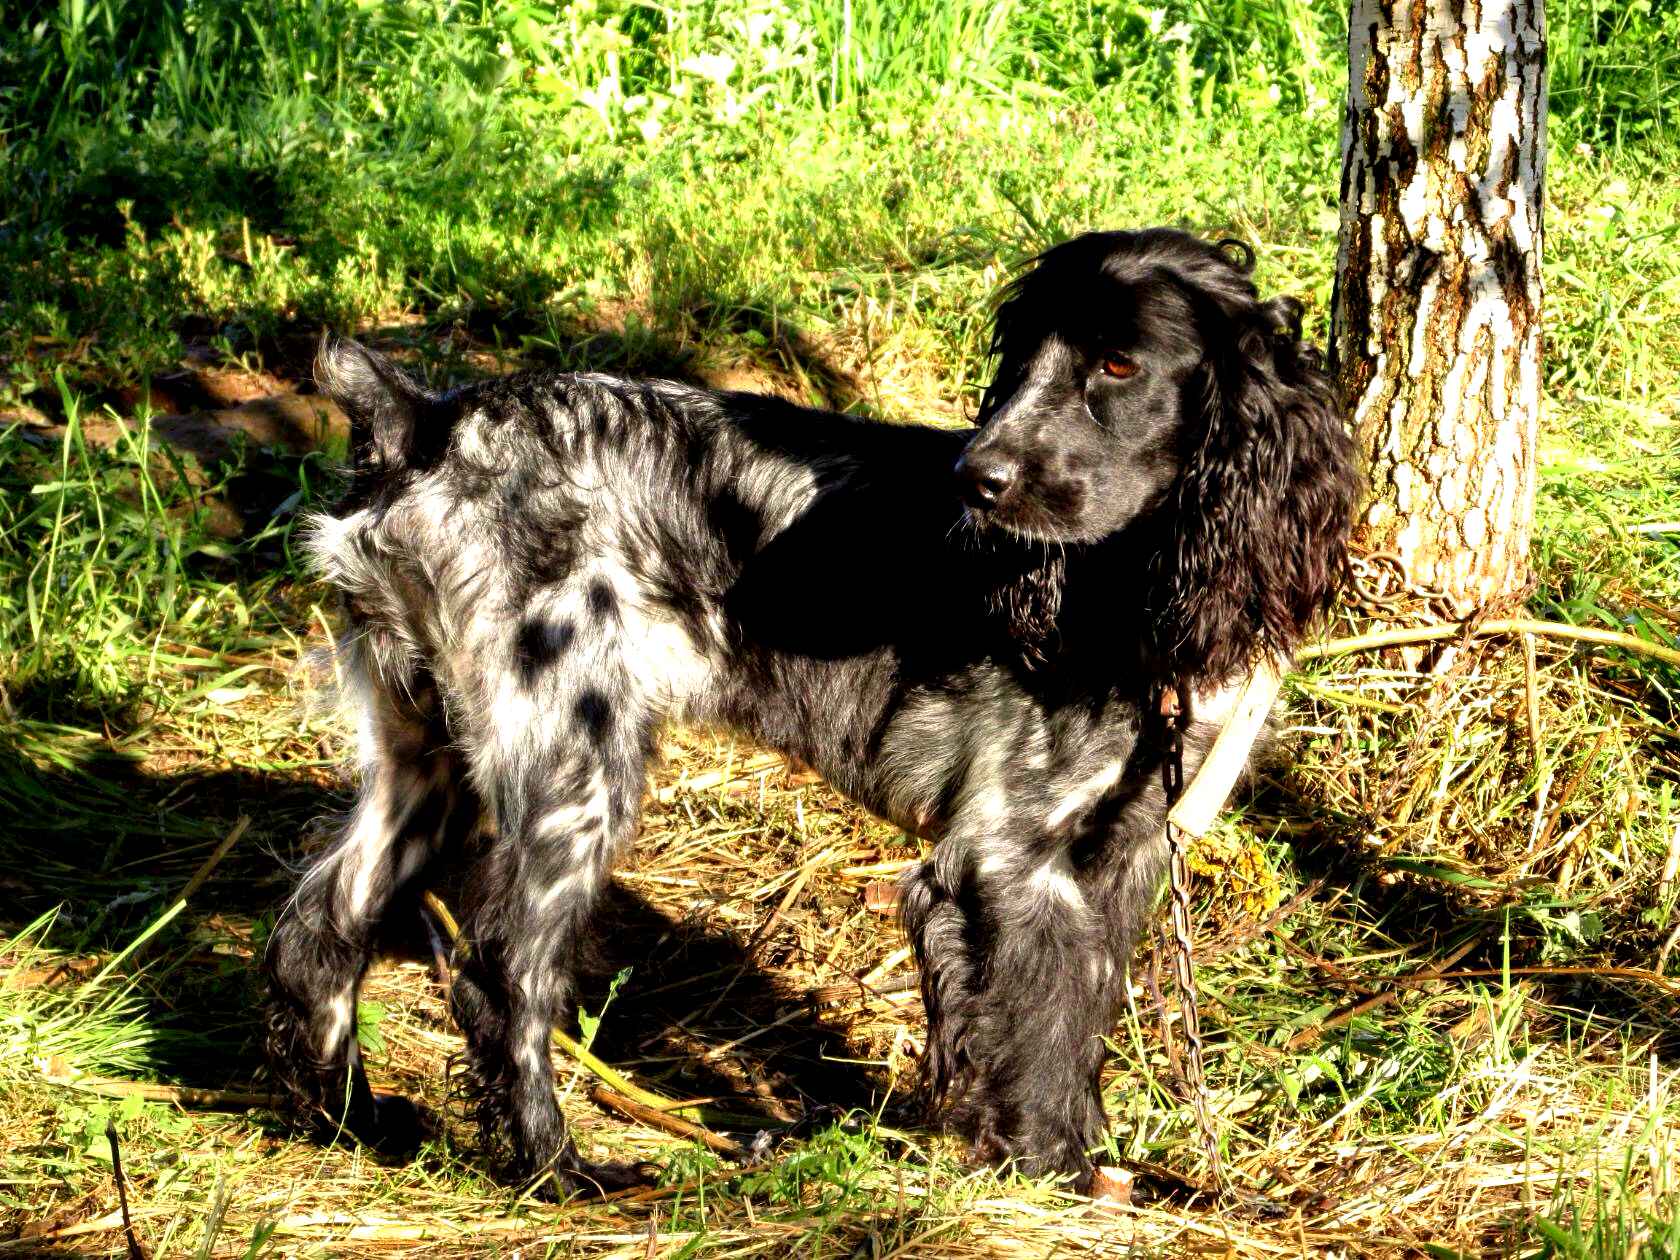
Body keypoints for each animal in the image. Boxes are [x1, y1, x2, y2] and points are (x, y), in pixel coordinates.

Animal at [262, 225, 1364, 1196]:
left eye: (1119, 365)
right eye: (1023, 362)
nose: (978, 480)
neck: (1125, 593)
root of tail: (425, 426)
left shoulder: (1120, 854)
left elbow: (1080, 1015)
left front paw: (1096, 1165)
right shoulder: (1008, 859)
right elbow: (1037, 1026)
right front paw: (1051, 1168)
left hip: (427, 752)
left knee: (321, 927)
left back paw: (355, 1122)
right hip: (573, 761)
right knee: (499, 974)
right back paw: (561, 1172)